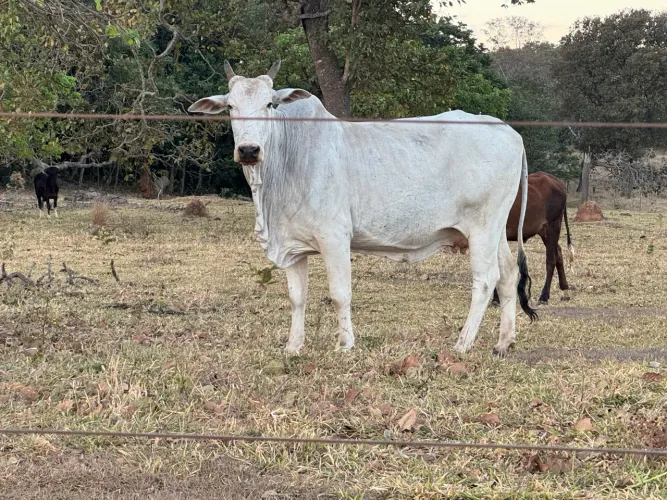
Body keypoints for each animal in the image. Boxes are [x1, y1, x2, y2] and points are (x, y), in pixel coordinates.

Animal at [188, 60, 537, 357]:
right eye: (230, 107)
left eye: (270, 104)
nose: (248, 150)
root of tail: (509, 131)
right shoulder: (293, 245)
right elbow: (297, 298)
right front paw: (293, 347)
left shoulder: (334, 237)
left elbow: (340, 293)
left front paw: (345, 344)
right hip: (494, 230)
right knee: (508, 273)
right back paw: (504, 342)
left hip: (482, 227)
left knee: (485, 280)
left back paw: (463, 344)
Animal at [491, 172, 574, 306]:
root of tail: (557, 182)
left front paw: (496, 298)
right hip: (545, 232)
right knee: (558, 253)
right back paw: (564, 290)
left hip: (553, 226)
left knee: (551, 260)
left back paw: (544, 296)